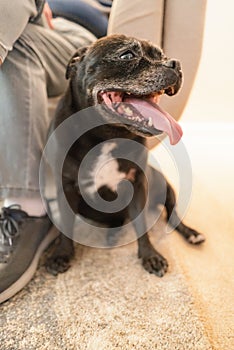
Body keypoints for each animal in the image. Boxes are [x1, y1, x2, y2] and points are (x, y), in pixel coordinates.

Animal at [46, 34, 205, 276]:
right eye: (127, 55)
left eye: (162, 55)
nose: (175, 63)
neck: (107, 135)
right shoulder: (66, 187)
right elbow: (65, 224)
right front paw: (61, 254)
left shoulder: (137, 184)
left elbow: (142, 226)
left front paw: (150, 256)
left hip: (166, 187)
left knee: (173, 214)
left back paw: (192, 233)